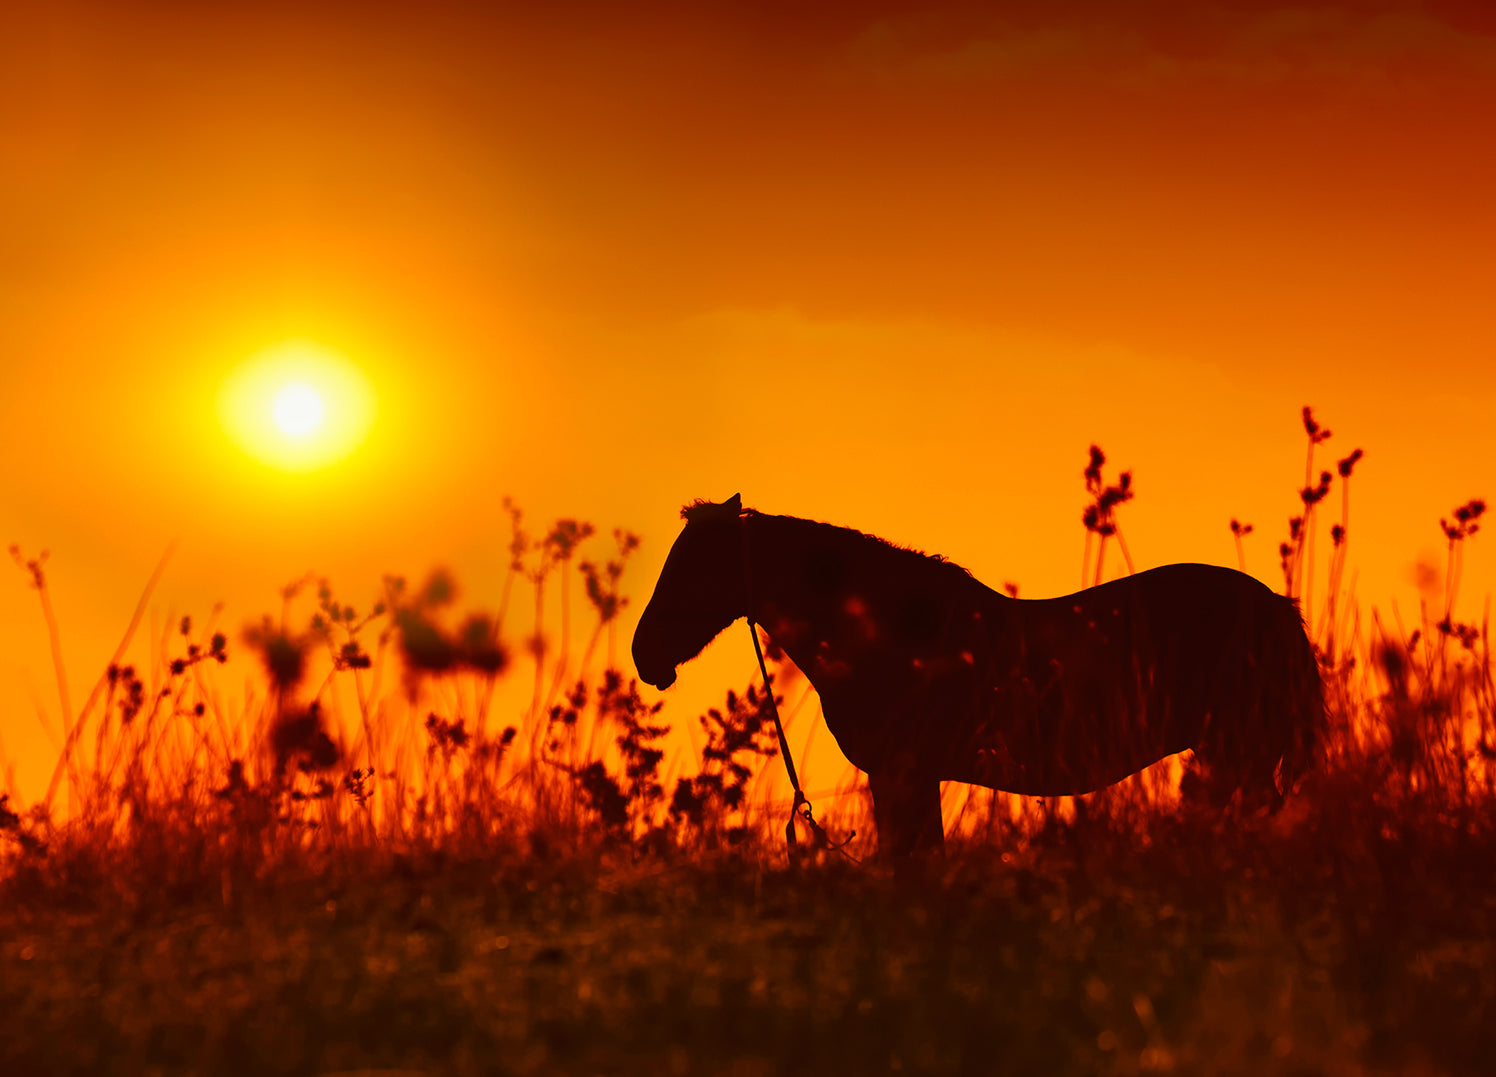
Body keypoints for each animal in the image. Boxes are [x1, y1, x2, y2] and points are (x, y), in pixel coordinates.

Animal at [632, 495, 1323, 857]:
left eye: (691, 568)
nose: (645, 656)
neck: (888, 626)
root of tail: (1277, 609)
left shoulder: (903, 773)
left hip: (1237, 753)